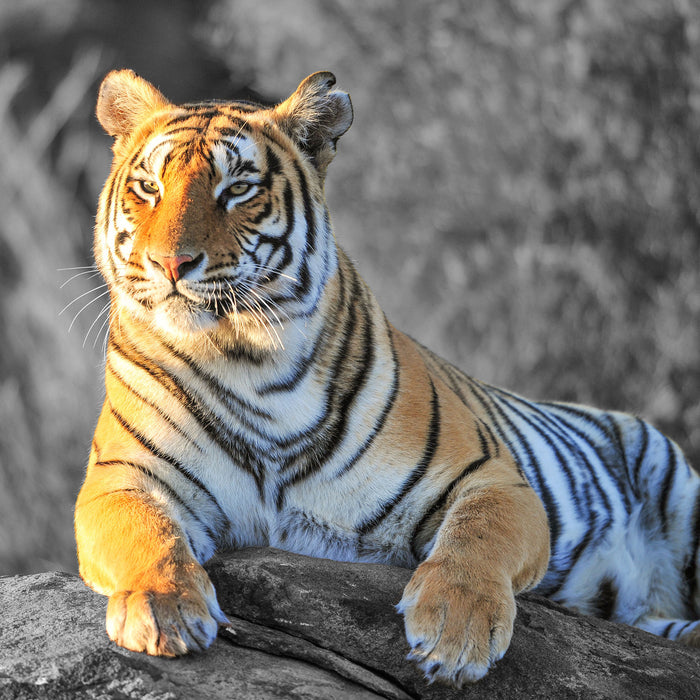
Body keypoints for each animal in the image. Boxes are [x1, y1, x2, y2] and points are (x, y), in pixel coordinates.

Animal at [75, 71, 700, 688]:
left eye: (238, 189)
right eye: (149, 188)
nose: (170, 264)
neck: (247, 360)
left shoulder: (492, 476)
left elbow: (477, 537)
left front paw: (455, 630)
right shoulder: (120, 478)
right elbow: (146, 535)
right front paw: (163, 609)